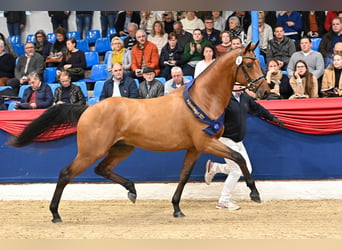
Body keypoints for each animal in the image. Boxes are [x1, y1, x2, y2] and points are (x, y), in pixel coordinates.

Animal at [8, 43, 270, 223]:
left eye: (258, 62)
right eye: (248, 64)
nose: (265, 91)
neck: (201, 99)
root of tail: (89, 108)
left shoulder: (194, 148)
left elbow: (184, 176)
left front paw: (176, 208)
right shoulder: (205, 142)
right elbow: (238, 158)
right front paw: (255, 193)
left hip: (123, 148)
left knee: (102, 169)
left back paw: (132, 190)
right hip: (92, 151)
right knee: (66, 173)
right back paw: (55, 214)